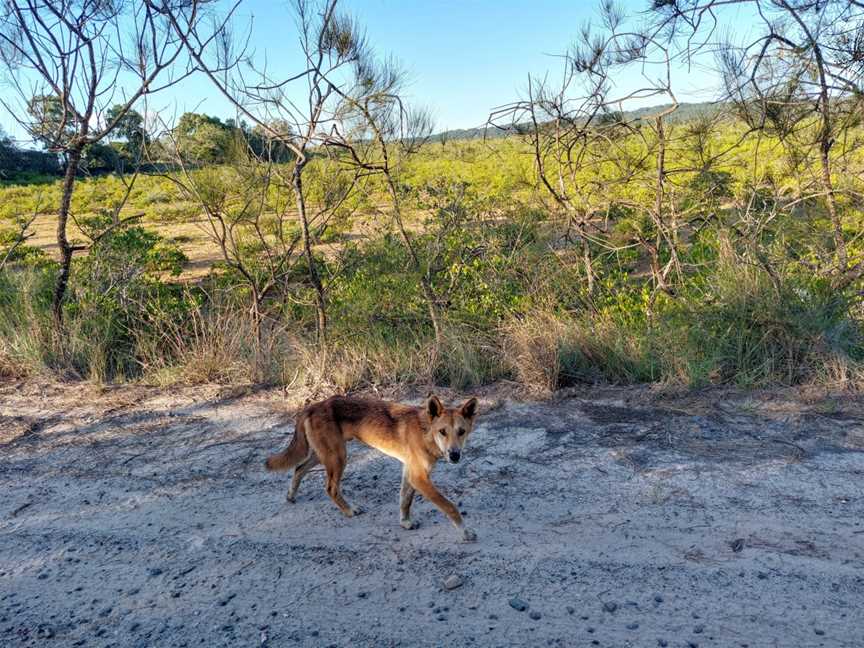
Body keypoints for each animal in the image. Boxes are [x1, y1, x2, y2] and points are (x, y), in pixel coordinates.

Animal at [264, 394, 480, 540]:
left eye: (461, 432)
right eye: (443, 432)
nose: (454, 455)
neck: (426, 432)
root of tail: (313, 406)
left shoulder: (410, 473)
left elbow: (405, 501)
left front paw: (405, 522)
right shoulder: (419, 477)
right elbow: (450, 506)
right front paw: (465, 531)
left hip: (324, 455)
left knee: (299, 468)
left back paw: (291, 495)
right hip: (338, 457)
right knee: (330, 487)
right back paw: (349, 510)